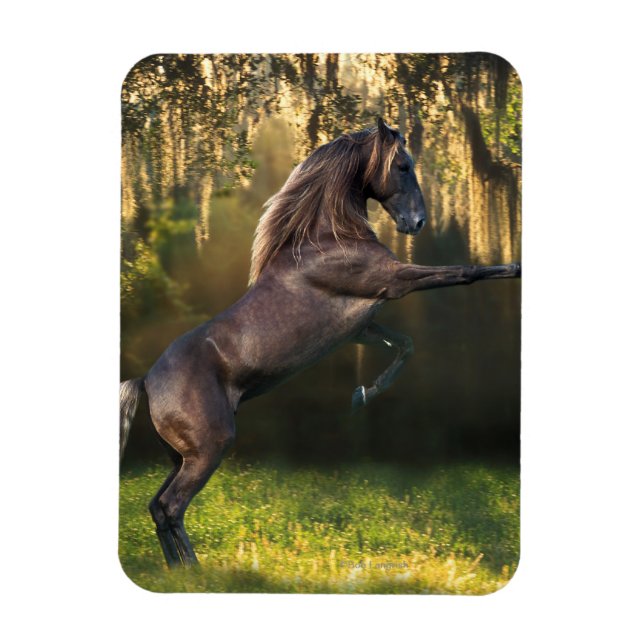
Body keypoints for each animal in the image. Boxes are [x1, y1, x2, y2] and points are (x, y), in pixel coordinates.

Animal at [120, 117, 521, 567]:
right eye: (403, 166)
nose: (417, 223)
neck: (327, 239)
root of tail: (146, 381)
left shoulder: (362, 326)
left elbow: (405, 345)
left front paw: (362, 395)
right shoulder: (395, 281)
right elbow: (465, 272)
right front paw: (516, 266)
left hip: (181, 456)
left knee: (157, 507)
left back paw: (181, 571)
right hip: (208, 449)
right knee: (171, 506)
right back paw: (193, 571)